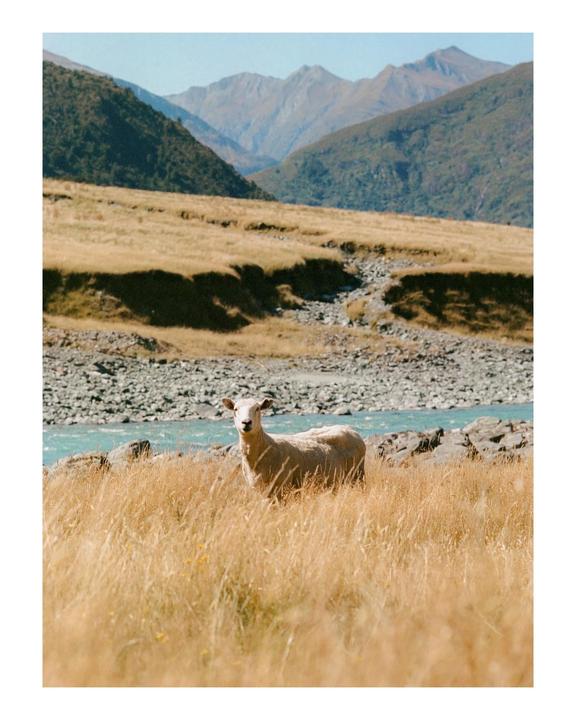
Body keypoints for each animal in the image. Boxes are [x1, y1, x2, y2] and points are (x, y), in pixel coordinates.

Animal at [222, 397, 365, 498]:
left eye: (257, 408)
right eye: (235, 409)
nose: (246, 422)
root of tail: (351, 430)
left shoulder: (282, 487)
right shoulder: (258, 489)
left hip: (357, 476)